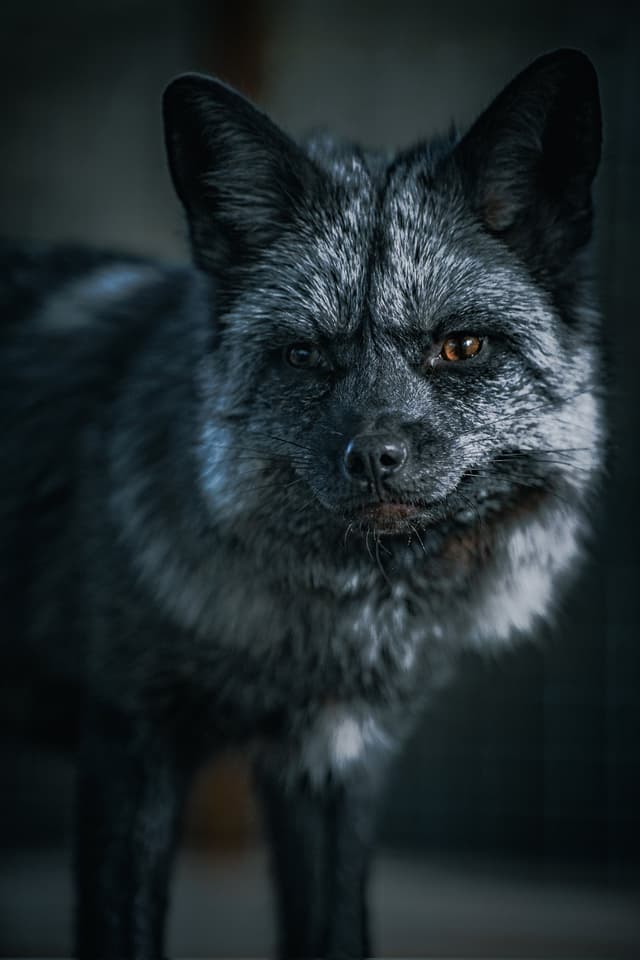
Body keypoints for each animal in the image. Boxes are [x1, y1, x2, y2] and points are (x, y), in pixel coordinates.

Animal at [0, 48, 603, 958]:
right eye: (305, 355)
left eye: (460, 347)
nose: (375, 459)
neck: (327, 630)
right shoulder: (127, 735)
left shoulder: (335, 757)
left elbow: (336, 927)